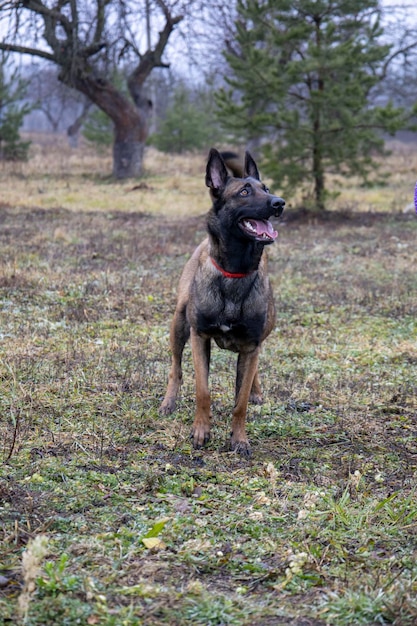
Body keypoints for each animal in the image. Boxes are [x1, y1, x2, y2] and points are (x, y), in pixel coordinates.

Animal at [158, 149, 284, 456]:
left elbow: (240, 402)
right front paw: (201, 432)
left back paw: (257, 392)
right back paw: (169, 402)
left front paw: (239, 439)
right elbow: (203, 390)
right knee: (175, 368)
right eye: (244, 191)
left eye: (266, 188)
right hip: (179, 324)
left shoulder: (251, 347)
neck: (235, 272)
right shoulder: (199, 337)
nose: (279, 203)